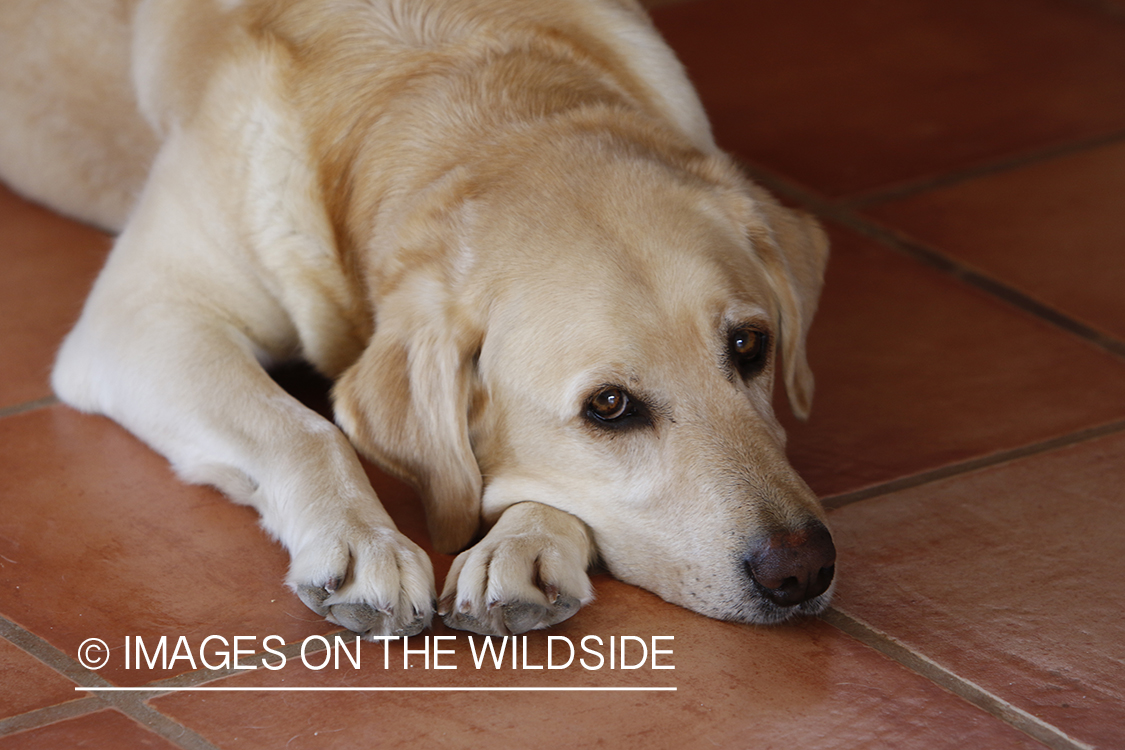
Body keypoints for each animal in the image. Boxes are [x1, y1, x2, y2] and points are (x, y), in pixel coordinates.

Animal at [0, 0, 837, 638]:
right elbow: (306, 431)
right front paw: (359, 541)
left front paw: (524, 544)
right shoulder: (140, 315)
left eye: (750, 345)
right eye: (609, 406)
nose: (802, 570)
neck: (446, 79)